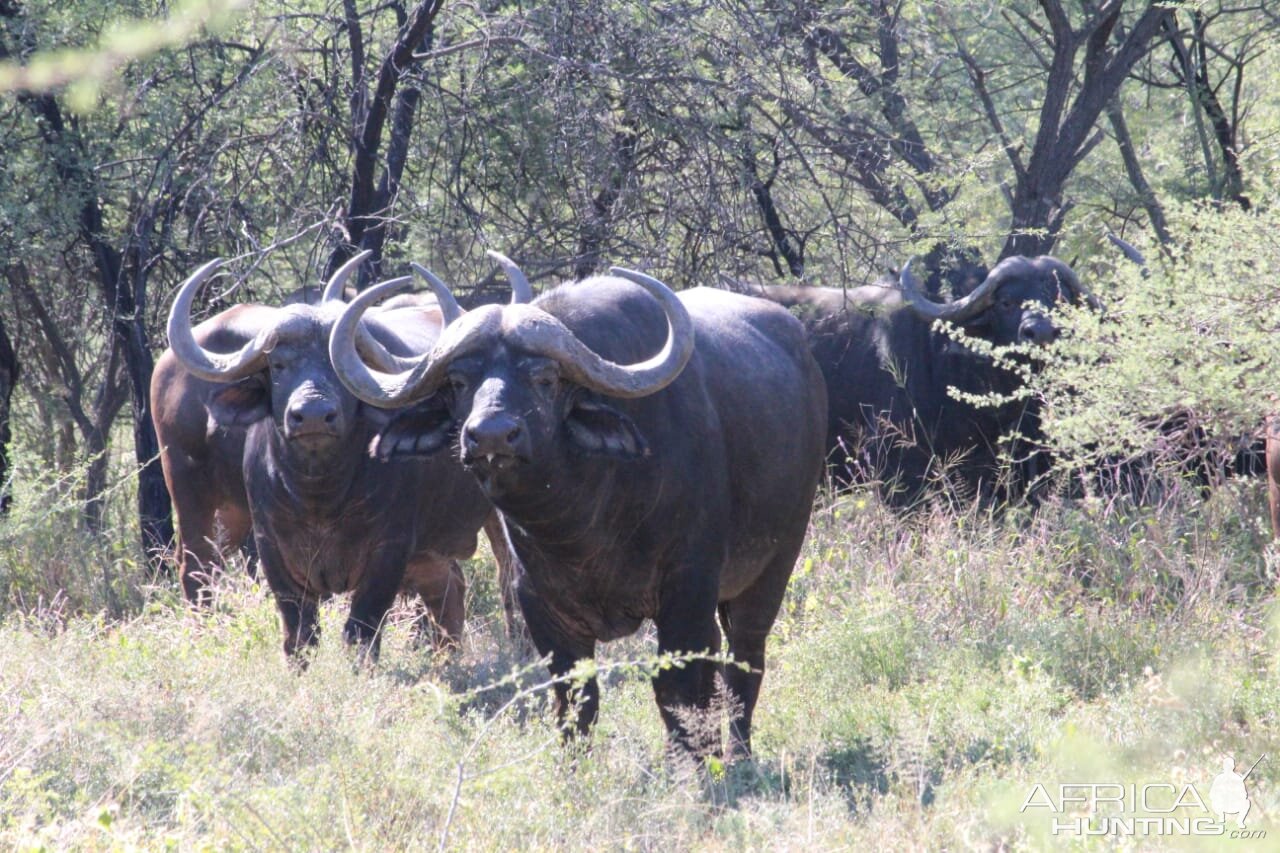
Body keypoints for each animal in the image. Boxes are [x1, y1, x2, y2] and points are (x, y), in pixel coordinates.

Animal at [327, 251, 829, 753]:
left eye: (546, 378)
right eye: (458, 380)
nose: (491, 435)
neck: (583, 521)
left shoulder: (687, 591)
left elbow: (679, 692)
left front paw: (694, 763)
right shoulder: (541, 605)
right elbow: (575, 700)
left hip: (772, 567)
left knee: (746, 663)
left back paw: (739, 753)